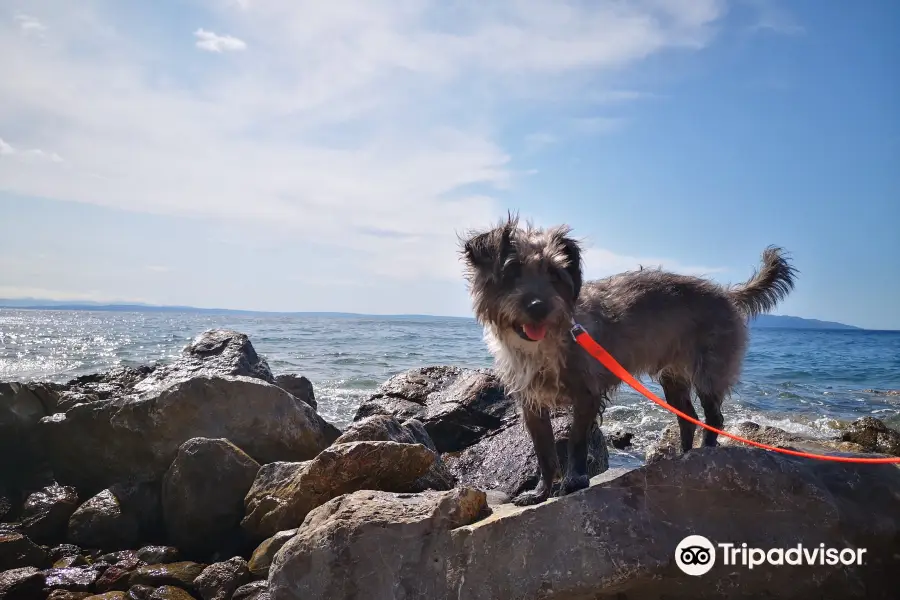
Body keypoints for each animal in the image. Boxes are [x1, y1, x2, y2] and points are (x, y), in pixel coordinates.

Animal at [460, 216, 800, 506]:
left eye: (555, 274)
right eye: (512, 270)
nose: (538, 307)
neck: (545, 346)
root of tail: (726, 294)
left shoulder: (586, 395)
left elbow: (576, 442)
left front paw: (573, 481)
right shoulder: (531, 405)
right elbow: (544, 453)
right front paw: (540, 492)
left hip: (709, 372)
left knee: (713, 418)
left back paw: (704, 455)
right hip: (673, 380)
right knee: (687, 417)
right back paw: (684, 457)